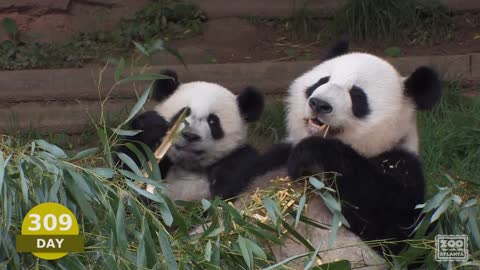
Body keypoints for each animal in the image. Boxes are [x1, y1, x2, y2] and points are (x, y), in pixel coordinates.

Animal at [118, 70, 264, 201]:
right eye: (183, 113)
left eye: (213, 121)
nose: (190, 135)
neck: (188, 168)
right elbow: (127, 170)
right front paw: (152, 127)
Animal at [238, 39, 440, 268]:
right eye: (322, 81)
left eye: (357, 96)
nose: (319, 104)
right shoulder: (274, 158)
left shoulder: (402, 167)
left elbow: (395, 225)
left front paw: (310, 152)